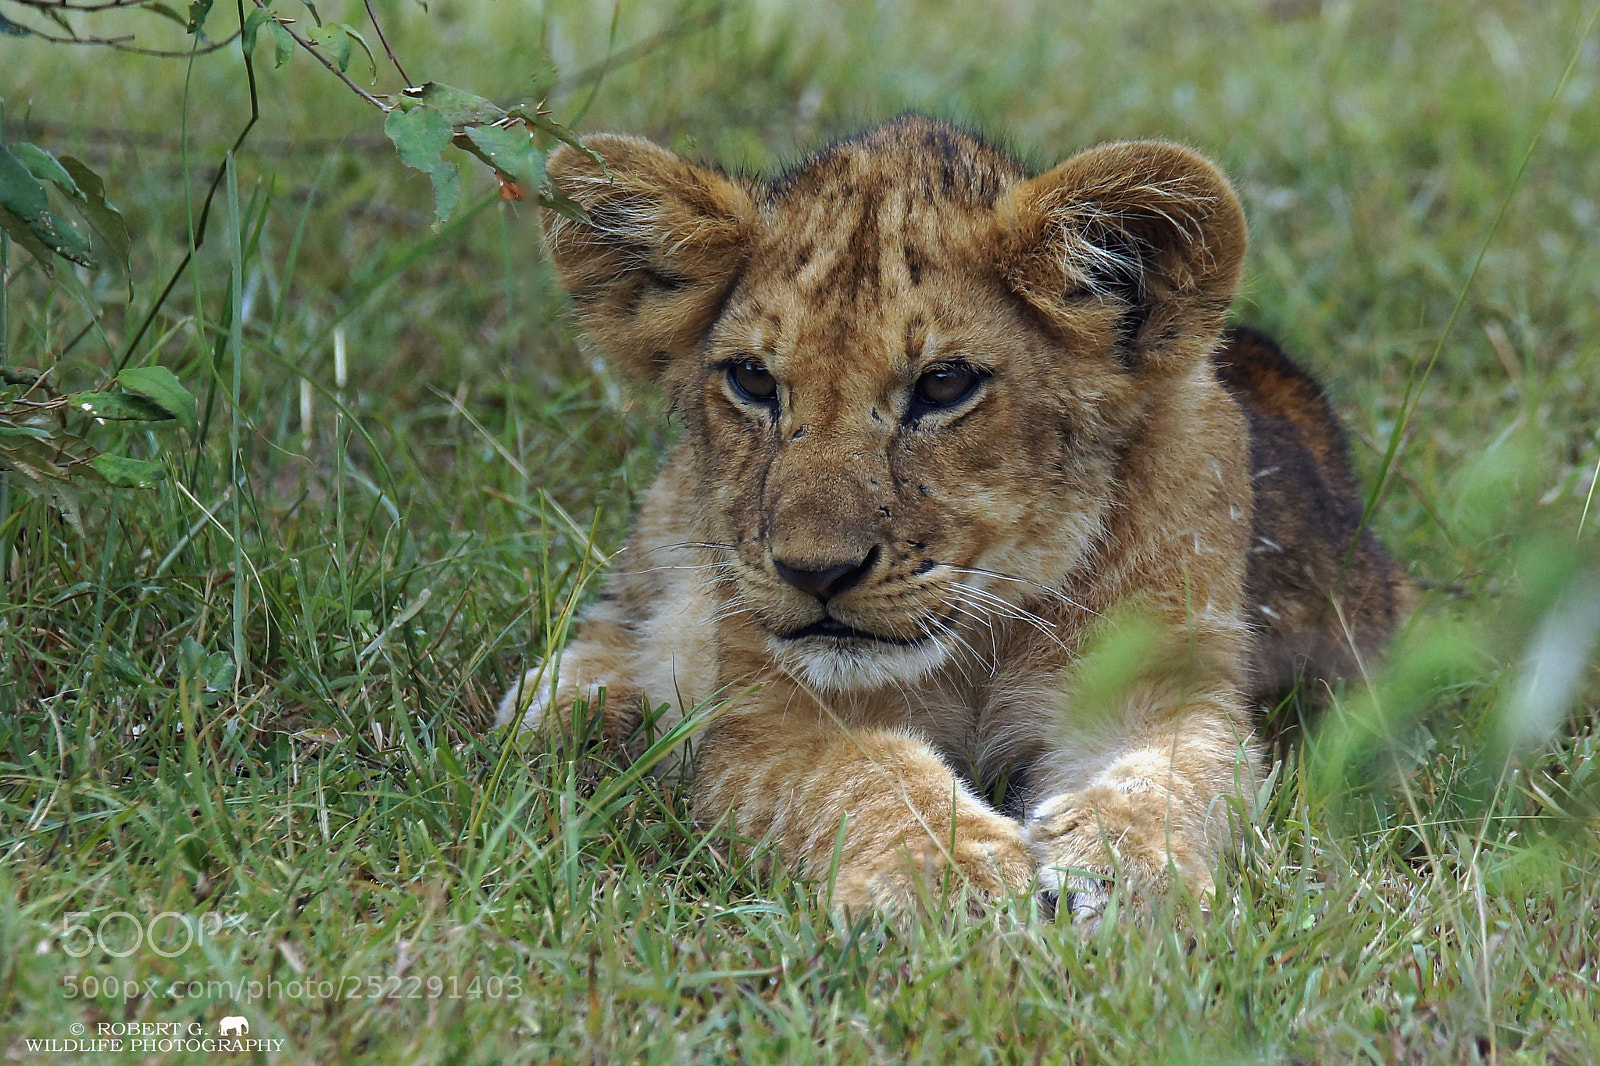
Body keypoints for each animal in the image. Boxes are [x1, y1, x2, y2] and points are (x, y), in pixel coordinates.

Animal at [499, 115, 1410, 920]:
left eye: (944, 385)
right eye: (753, 380)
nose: (815, 573)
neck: (981, 635)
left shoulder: (1166, 685)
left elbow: (1175, 776)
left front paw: (1125, 881)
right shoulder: (769, 721)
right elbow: (866, 778)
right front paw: (950, 881)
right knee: (620, 615)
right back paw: (577, 710)